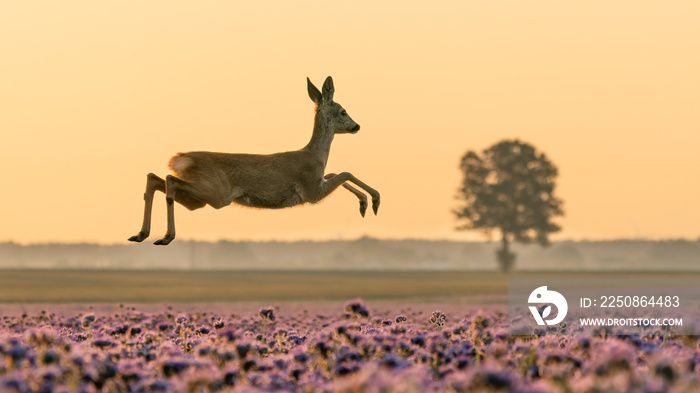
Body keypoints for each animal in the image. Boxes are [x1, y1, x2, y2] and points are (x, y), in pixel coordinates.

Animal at [126, 75, 378, 243]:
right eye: (343, 111)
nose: (356, 126)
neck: (314, 157)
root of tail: (179, 159)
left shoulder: (318, 184)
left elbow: (337, 173)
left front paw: (365, 204)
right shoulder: (312, 191)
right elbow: (345, 172)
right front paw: (373, 201)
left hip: (198, 200)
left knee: (155, 178)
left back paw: (141, 235)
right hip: (215, 194)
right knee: (169, 180)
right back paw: (165, 237)